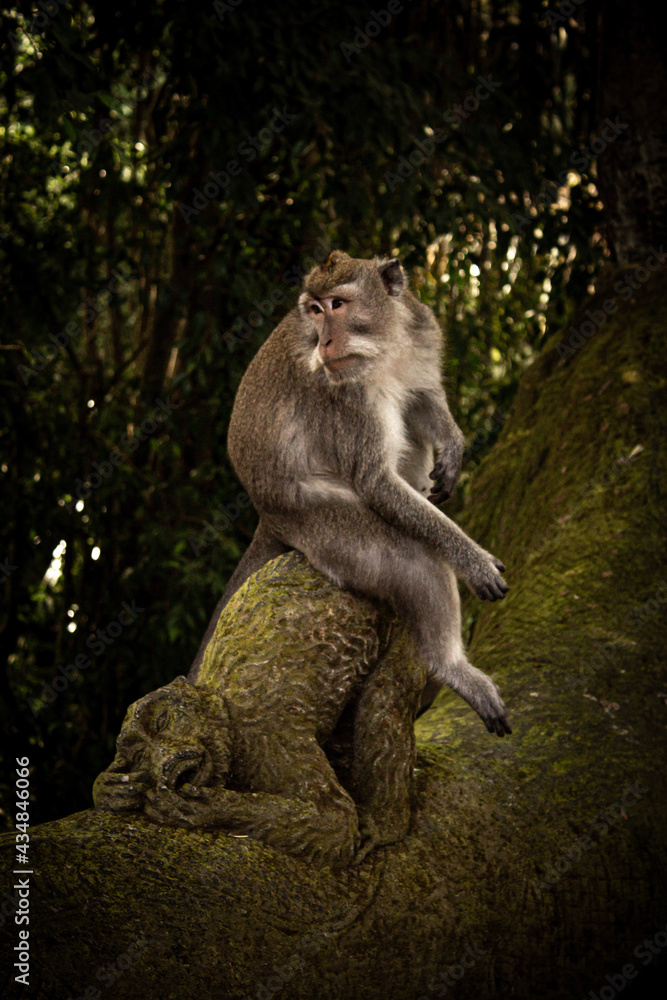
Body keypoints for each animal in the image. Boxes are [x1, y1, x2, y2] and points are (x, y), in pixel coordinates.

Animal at [189, 251, 511, 737]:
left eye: (337, 305)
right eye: (314, 310)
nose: (323, 343)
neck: (385, 347)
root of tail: (267, 513)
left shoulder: (422, 331)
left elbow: (421, 395)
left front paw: (453, 445)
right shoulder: (345, 397)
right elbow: (376, 482)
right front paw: (472, 560)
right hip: (320, 524)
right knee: (413, 560)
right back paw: (452, 668)